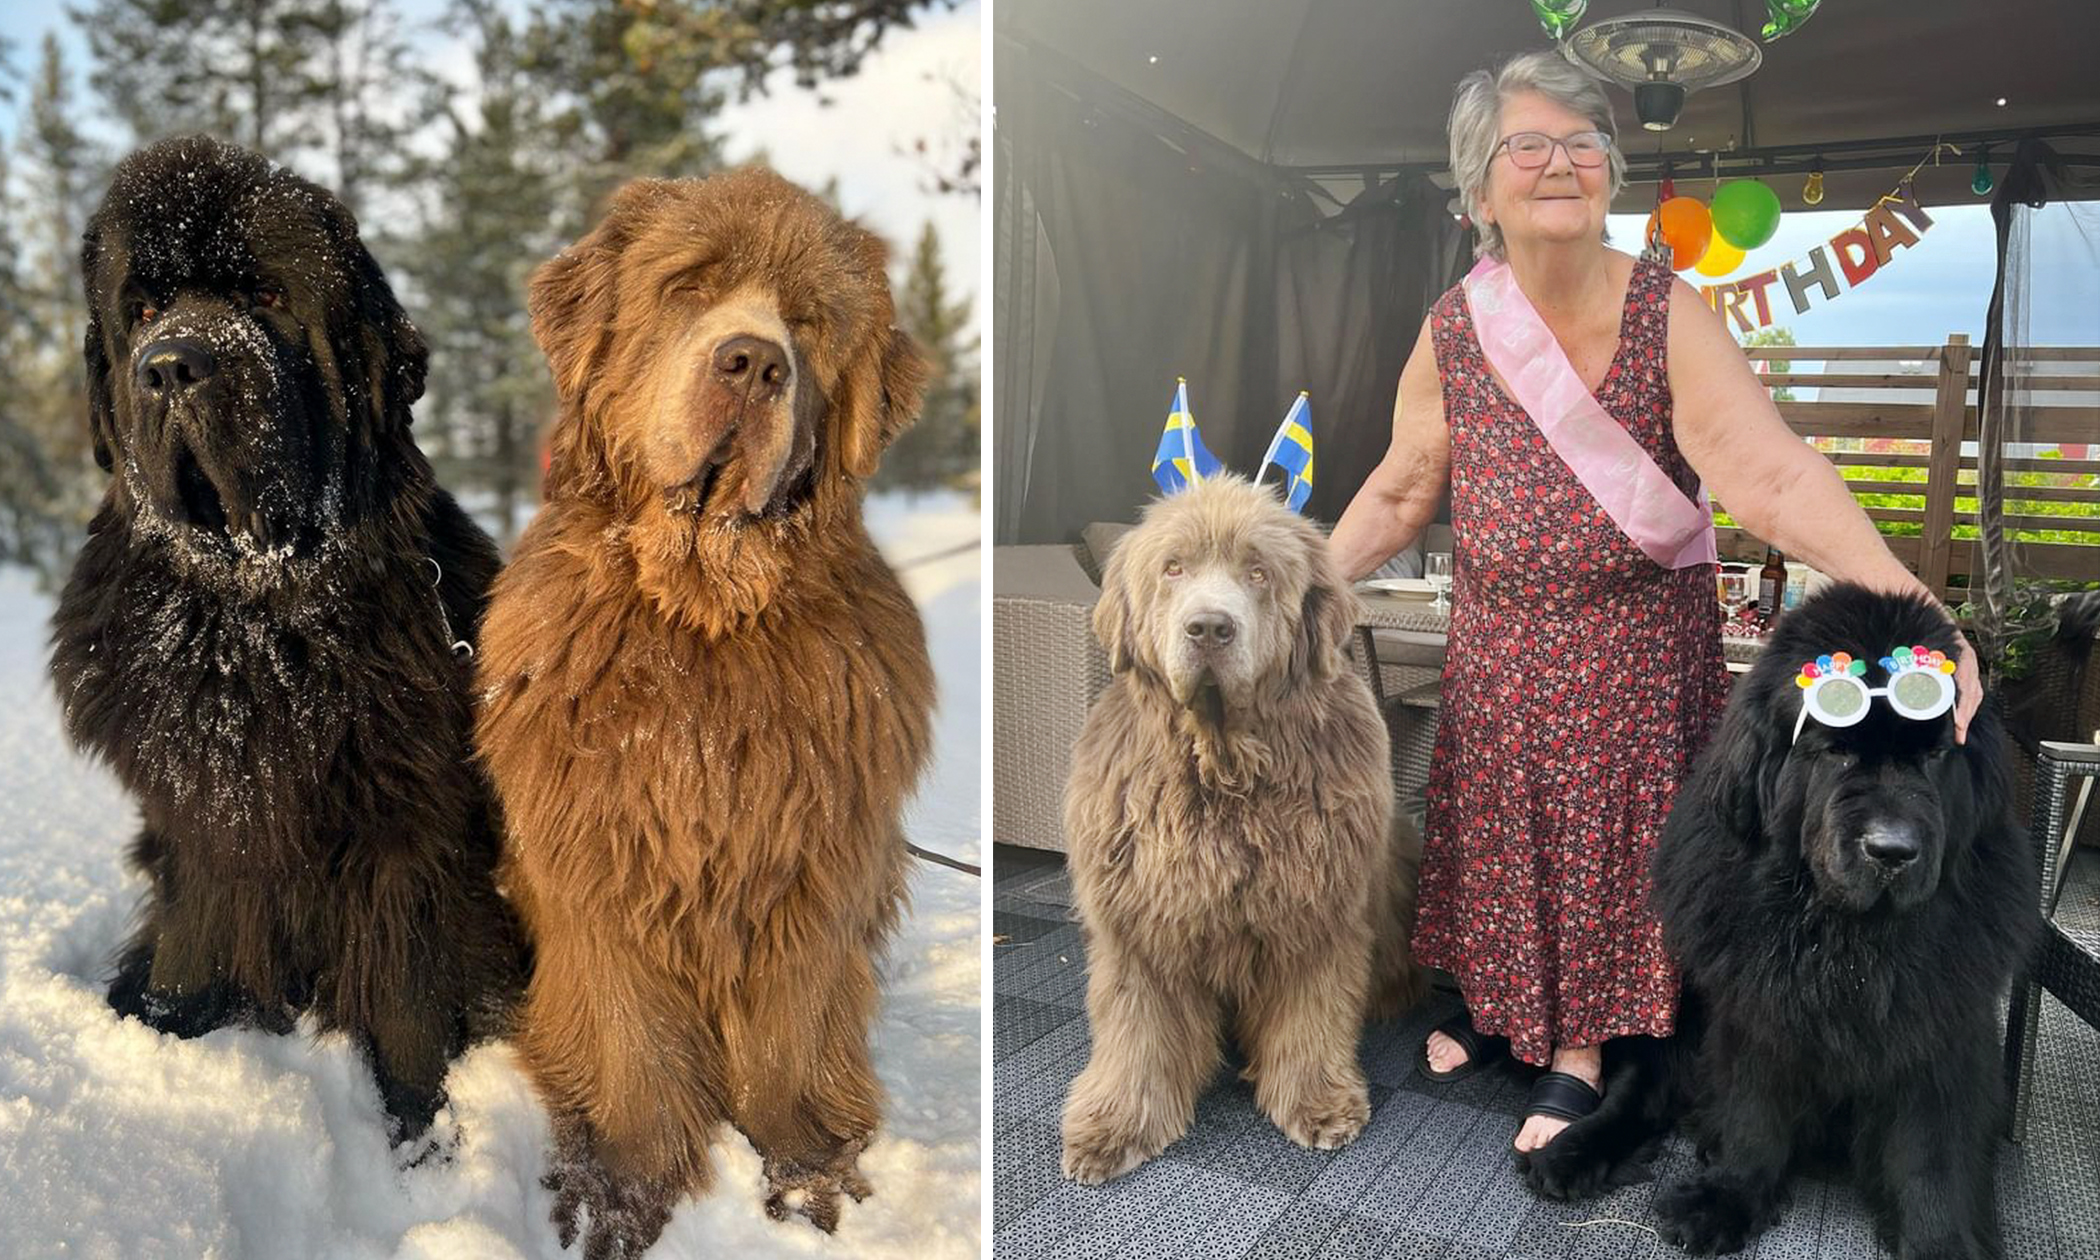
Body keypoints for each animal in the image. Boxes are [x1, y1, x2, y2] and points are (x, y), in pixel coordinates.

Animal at [51, 135, 525, 1142]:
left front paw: (416, 1136)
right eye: (142, 311)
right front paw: (166, 1041)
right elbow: (192, 946)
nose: (172, 367)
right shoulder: (198, 825)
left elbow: (408, 999)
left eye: (267, 296)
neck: (254, 620)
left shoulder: (410, 840)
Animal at [480, 170, 940, 1260]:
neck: (702, 618)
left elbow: (790, 1035)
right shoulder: (594, 859)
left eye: (808, 322)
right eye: (687, 286)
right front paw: (622, 1185)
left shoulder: (813, 859)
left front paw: (810, 1170)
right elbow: (628, 1039)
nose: (755, 361)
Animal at [1058, 476, 1419, 1184]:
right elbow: (1137, 1031)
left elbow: (1312, 1014)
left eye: (1257, 572)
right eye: (1173, 568)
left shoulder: (1317, 913)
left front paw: (1315, 1102)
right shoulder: (1138, 921)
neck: (1223, 767)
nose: (1208, 627)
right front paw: (1118, 1125)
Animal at [1528, 583, 2032, 1260]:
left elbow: (1933, 1151)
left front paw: (1942, 1242)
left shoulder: (1941, 1029)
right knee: (1644, 1086)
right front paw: (1725, 1199)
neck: (1845, 941)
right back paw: (1571, 1152)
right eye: (1835, 751)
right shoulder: (1755, 1012)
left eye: (1934, 755)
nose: (1892, 850)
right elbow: (1753, 1116)